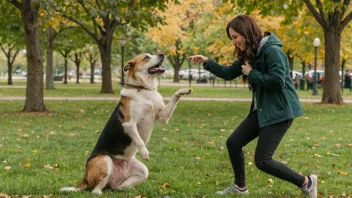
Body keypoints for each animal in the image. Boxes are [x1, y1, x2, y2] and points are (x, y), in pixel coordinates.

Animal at [60, 53, 192, 195]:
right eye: (146, 57)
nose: (162, 54)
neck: (144, 89)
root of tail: (84, 178)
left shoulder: (163, 117)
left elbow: (175, 97)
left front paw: (183, 91)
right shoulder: (129, 124)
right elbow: (139, 140)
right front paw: (144, 152)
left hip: (142, 171)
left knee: (118, 186)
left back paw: (125, 188)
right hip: (105, 160)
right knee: (95, 190)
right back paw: (99, 192)